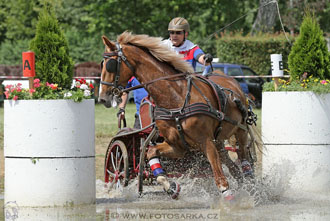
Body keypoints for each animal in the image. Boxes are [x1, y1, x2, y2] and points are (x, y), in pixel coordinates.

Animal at [99, 31, 256, 200]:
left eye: (110, 65)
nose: (102, 98)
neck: (176, 98)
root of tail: (230, 80)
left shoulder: (205, 141)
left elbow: (219, 177)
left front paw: (229, 198)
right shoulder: (177, 146)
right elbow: (151, 153)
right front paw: (171, 186)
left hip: (240, 131)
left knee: (244, 159)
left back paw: (252, 186)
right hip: (219, 140)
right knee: (233, 167)